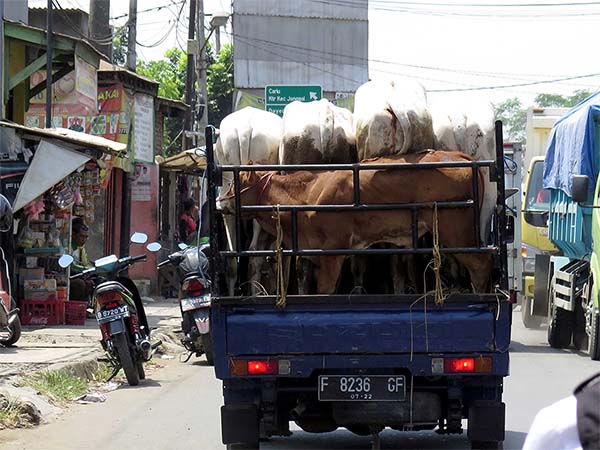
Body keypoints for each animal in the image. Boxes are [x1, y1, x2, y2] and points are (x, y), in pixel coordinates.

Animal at [220, 149, 492, 294]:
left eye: (234, 182)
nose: (220, 202)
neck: (306, 195)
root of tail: (460, 156)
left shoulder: (333, 252)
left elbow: (326, 289)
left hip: (456, 231)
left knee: (480, 265)